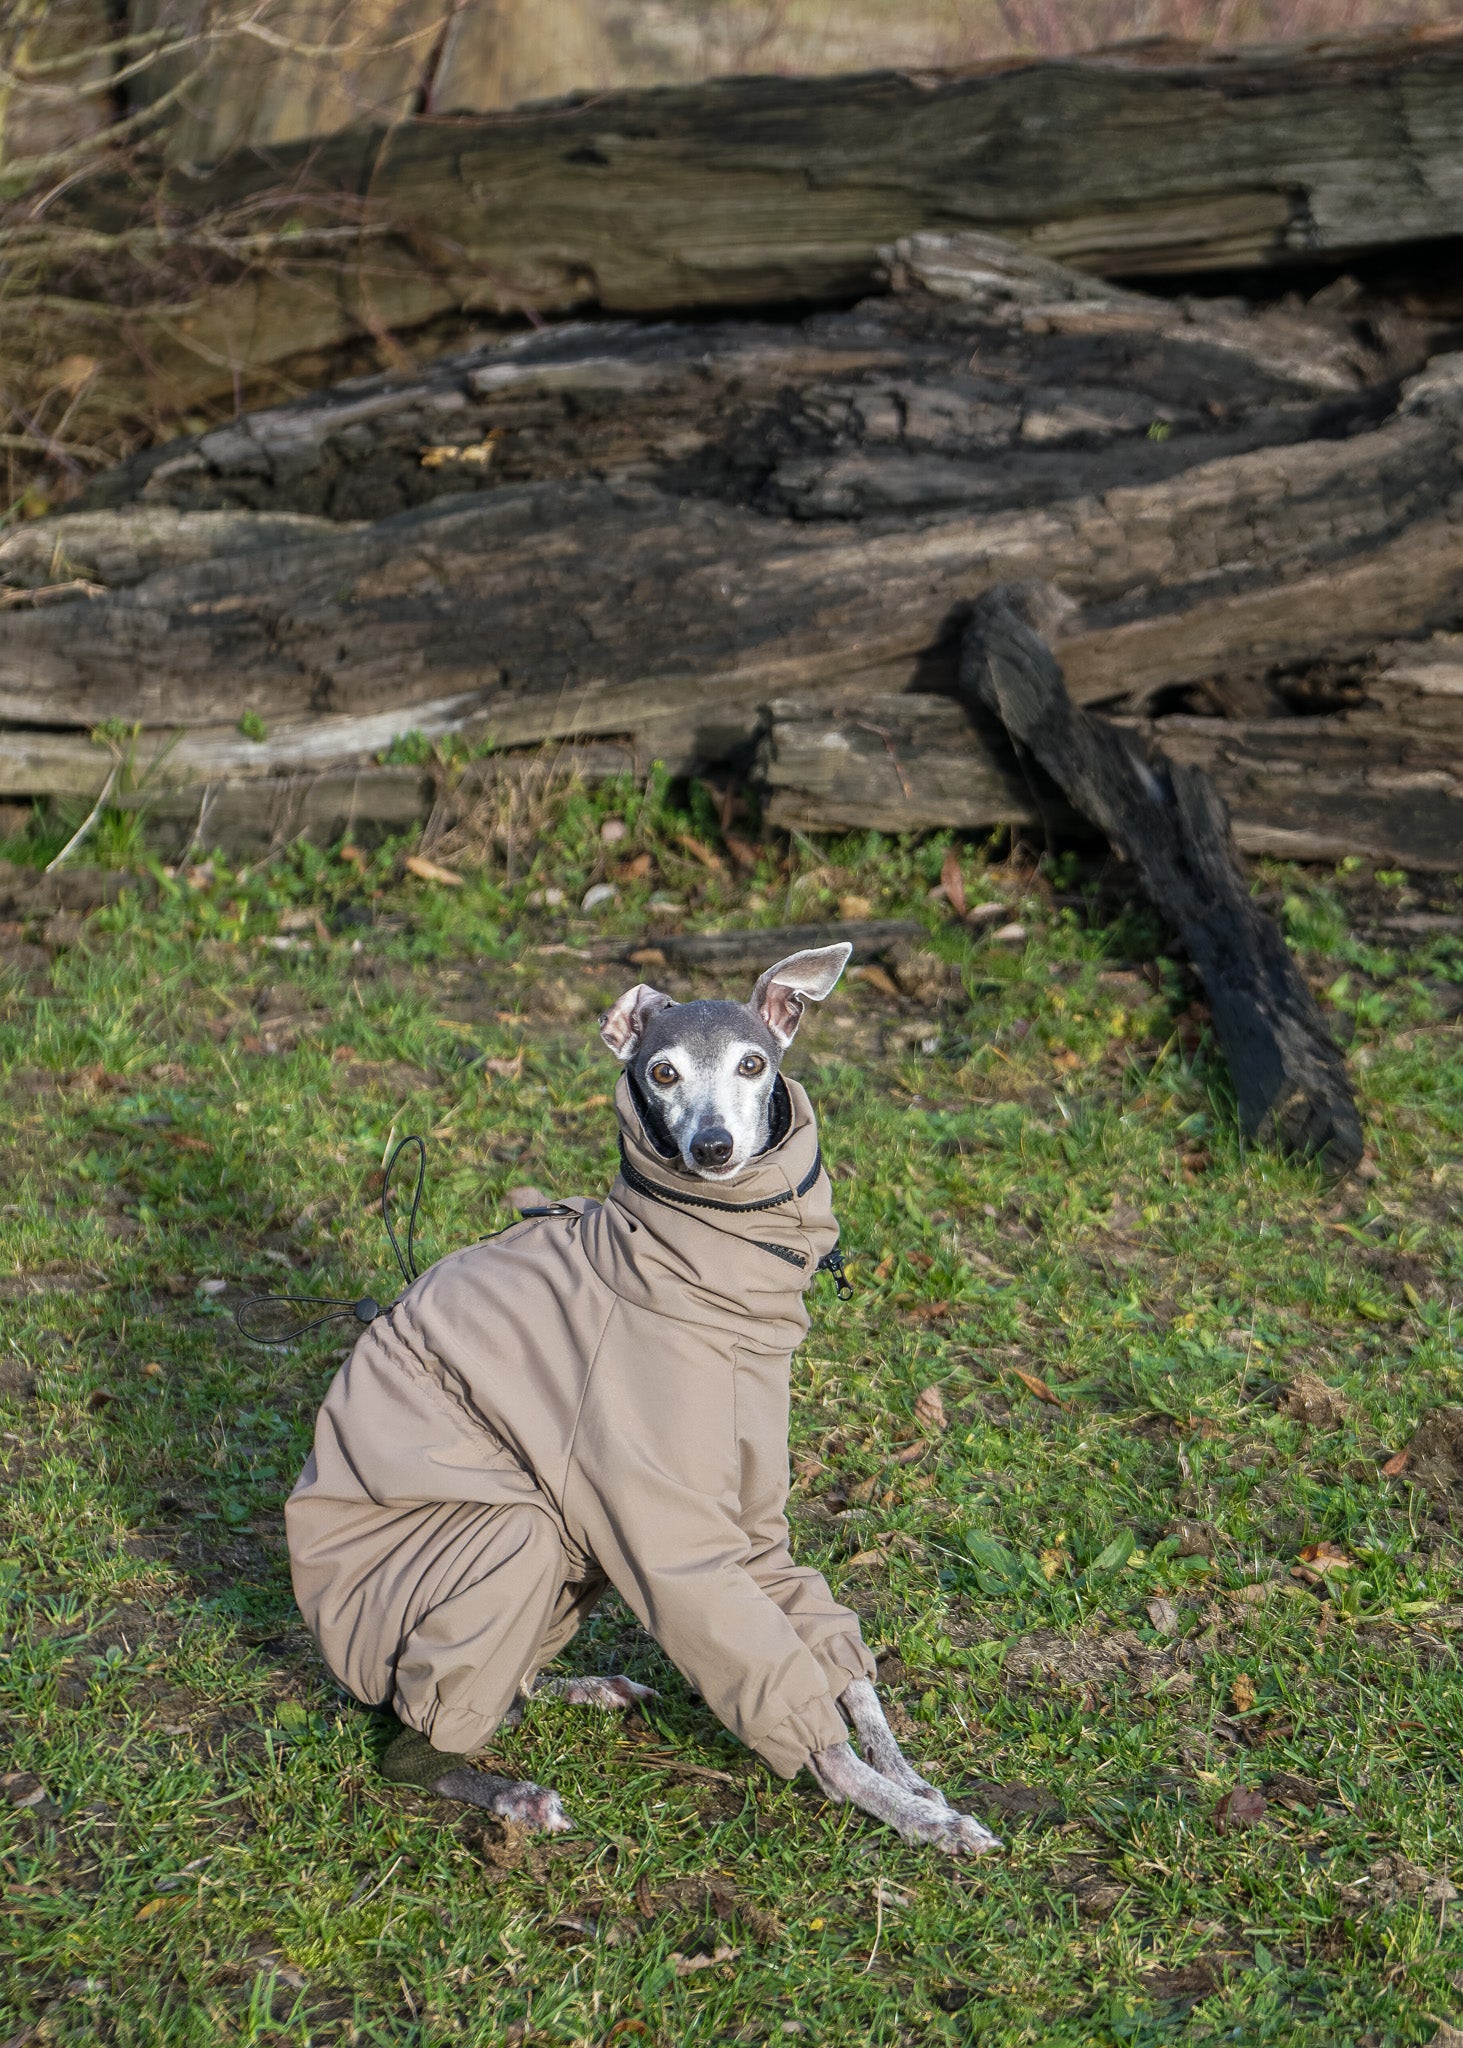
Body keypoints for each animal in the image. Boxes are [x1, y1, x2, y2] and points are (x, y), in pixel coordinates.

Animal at [280, 942, 995, 1859]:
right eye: (661, 1072)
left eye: (753, 1063)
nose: (715, 1148)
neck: (701, 1286)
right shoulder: (663, 1527)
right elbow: (809, 1726)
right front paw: (911, 1815)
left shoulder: (754, 1517)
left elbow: (842, 1668)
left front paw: (906, 1774)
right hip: (504, 1542)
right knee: (412, 1739)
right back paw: (508, 1791)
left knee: (508, 1684)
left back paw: (575, 1688)